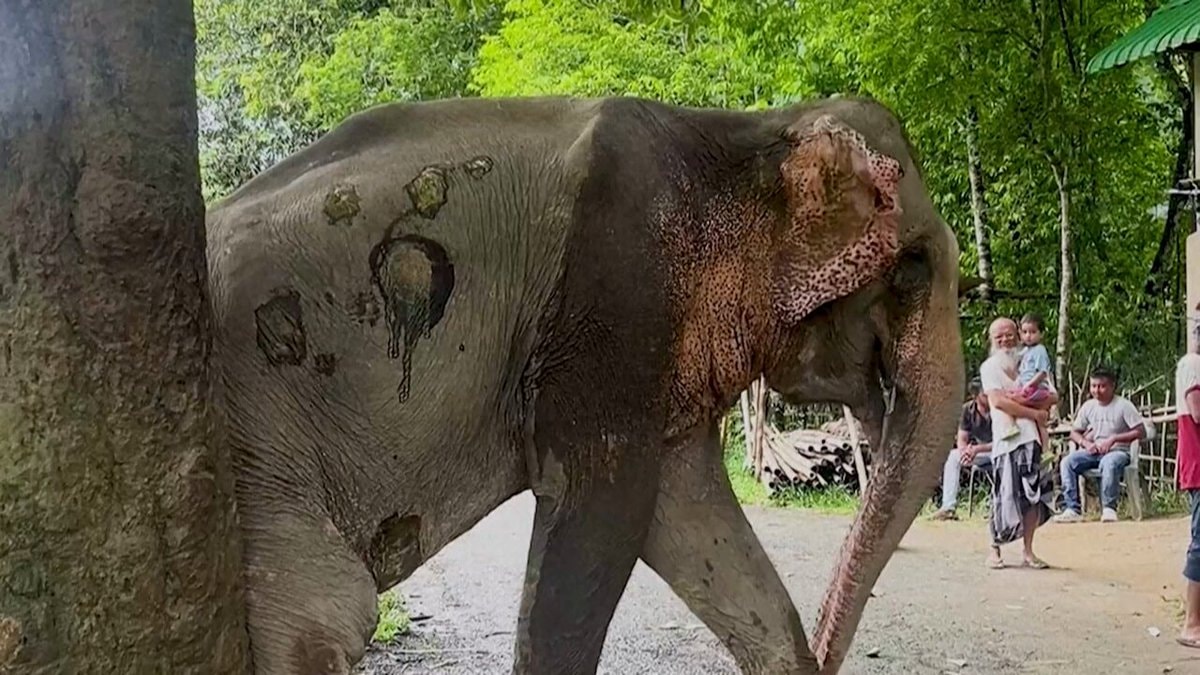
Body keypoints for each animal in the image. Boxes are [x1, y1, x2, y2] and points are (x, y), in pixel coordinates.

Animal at [205, 94, 963, 674]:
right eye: (912, 267)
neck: (742, 133)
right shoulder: (613, 298)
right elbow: (601, 518)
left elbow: (691, 523)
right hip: (257, 451)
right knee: (318, 620)